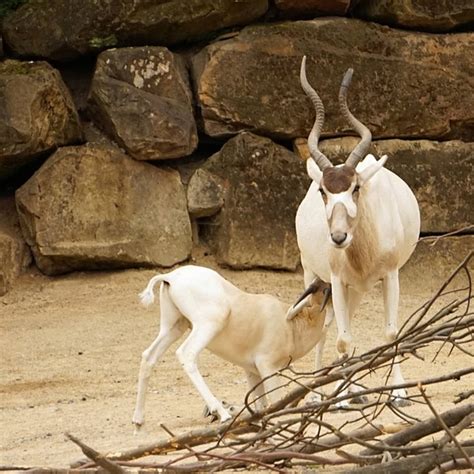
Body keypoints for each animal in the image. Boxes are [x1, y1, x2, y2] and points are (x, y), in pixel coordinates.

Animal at [131, 264, 330, 428]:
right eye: (324, 291)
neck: (292, 324)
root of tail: (171, 277)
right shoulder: (268, 367)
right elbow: (276, 400)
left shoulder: (252, 371)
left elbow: (261, 404)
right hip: (207, 325)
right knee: (186, 354)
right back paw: (222, 413)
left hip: (174, 327)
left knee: (148, 356)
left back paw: (138, 419)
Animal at [286, 55, 420, 404]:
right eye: (324, 191)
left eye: (356, 187)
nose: (338, 237)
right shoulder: (335, 279)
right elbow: (343, 339)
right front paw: (340, 398)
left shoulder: (391, 275)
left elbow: (391, 331)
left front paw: (397, 393)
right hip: (317, 277)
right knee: (326, 328)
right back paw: (324, 392)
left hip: (357, 289)